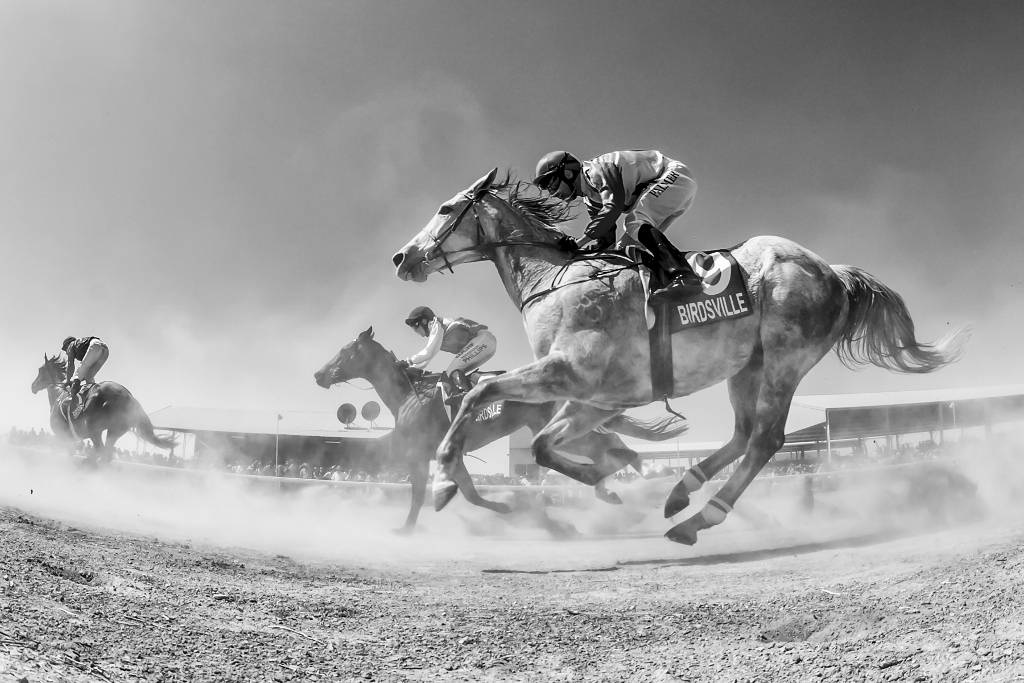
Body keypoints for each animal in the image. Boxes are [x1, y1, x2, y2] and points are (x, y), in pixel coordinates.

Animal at [30, 356, 176, 462]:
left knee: (101, 453)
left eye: (41, 370)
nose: (33, 386)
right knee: (106, 455)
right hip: (113, 431)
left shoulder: (63, 436)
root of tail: (129, 398)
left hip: (95, 430)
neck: (59, 394)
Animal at [311, 327, 688, 532]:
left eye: (345, 351)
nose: (318, 374)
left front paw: (405, 529)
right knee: (612, 445)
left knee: (610, 446)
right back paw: (632, 485)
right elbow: (469, 493)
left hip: (556, 427)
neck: (409, 395)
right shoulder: (448, 456)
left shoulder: (420, 456)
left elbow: (424, 494)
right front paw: (519, 513)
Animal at [393, 166, 966, 544]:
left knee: (766, 440)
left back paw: (699, 518)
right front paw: (608, 485)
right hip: (746, 366)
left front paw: (445, 480)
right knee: (742, 435)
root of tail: (832, 272)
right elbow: (541, 446)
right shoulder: (596, 397)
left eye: (446, 209)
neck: (554, 279)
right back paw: (679, 494)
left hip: (785, 359)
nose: (402, 257)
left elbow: (482, 394)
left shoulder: (568, 372)